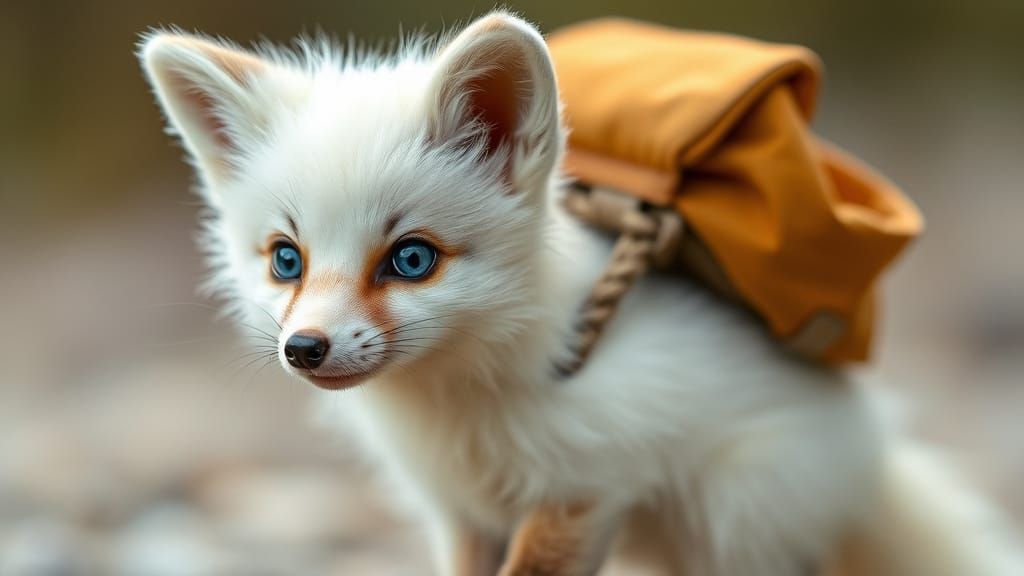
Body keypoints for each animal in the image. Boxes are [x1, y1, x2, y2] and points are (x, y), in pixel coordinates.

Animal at [139, 11, 1022, 576]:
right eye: (286, 261)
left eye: (412, 259)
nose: (304, 349)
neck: (466, 405)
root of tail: (873, 446)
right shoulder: (464, 512)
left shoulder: (587, 489)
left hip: (735, 523)